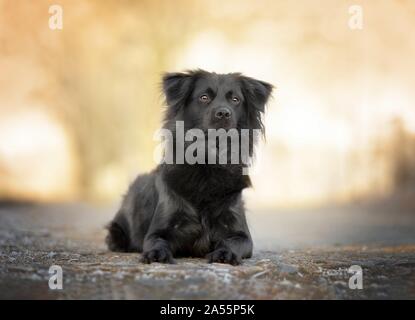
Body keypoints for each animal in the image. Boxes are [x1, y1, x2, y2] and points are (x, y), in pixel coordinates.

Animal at [106, 69, 272, 264]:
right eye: (204, 97)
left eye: (235, 99)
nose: (224, 113)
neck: (208, 163)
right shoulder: (159, 230)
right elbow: (156, 240)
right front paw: (156, 253)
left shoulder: (240, 233)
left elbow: (233, 242)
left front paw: (225, 253)